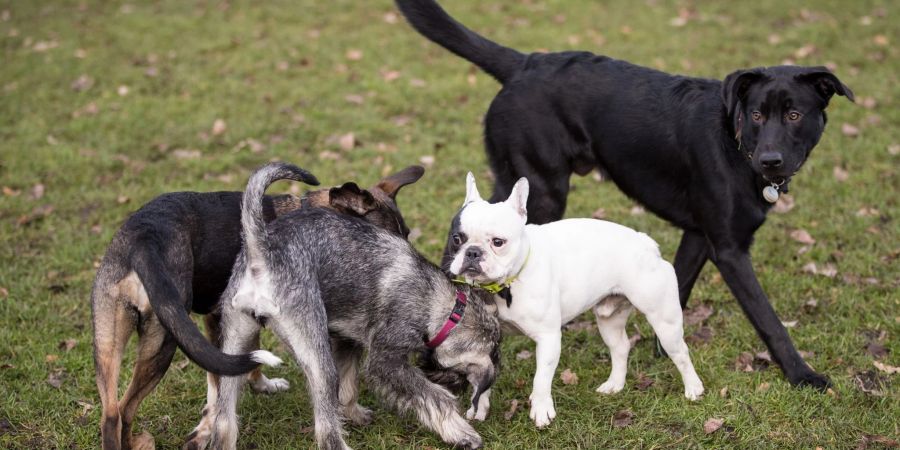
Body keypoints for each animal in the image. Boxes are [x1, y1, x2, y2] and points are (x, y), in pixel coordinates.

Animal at [92, 165, 426, 450]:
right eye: (378, 242)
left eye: (406, 235)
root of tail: (144, 238)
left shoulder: (223, 323)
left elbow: (233, 368)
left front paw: (256, 387)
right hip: (164, 342)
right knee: (125, 409)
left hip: (109, 340)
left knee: (113, 414)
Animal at [191, 163, 502, 450]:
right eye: (460, 375)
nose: (459, 386)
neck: (445, 307)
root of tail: (261, 254)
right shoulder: (385, 360)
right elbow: (432, 396)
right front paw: (460, 432)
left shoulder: (347, 340)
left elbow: (349, 385)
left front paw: (354, 414)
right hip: (317, 358)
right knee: (326, 430)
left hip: (234, 344)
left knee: (224, 420)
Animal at [398, 0, 856, 390]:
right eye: (758, 114)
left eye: (794, 114)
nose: (770, 160)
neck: (735, 139)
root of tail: (524, 63)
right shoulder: (729, 249)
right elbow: (768, 319)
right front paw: (802, 374)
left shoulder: (698, 235)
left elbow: (678, 288)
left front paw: (662, 350)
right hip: (541, 188)